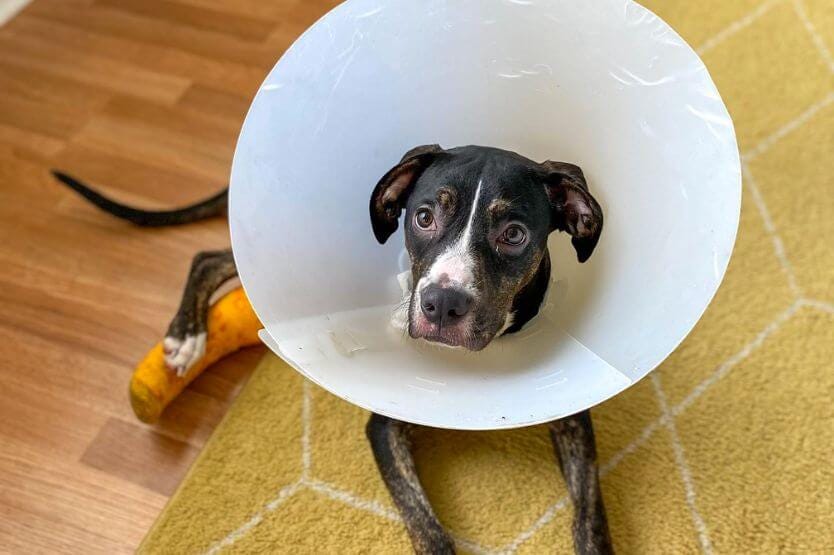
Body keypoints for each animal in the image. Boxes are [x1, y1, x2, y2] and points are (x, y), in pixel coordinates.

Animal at [53, 146, 612, 552]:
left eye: (514, 234)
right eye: (423, 217)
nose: (442, 304)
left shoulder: (572, 419)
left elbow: (591, 520)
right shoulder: (385, 428)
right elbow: (429, 530)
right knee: (209, 257)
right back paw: (186, 337)